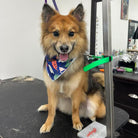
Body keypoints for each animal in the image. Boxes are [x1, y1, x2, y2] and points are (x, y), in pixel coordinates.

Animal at [37, 3, 105, 134]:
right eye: (56, 33)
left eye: (71, 34)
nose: (64, 48)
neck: (61, 67)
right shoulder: (51, 90)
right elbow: (52, 110)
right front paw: (48, 124)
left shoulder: (76, 91)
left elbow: (75, 109)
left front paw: (76, 122)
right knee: (54, 107)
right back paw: (44, 106)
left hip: (94, 103)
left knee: (92, 112)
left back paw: (92, 117)